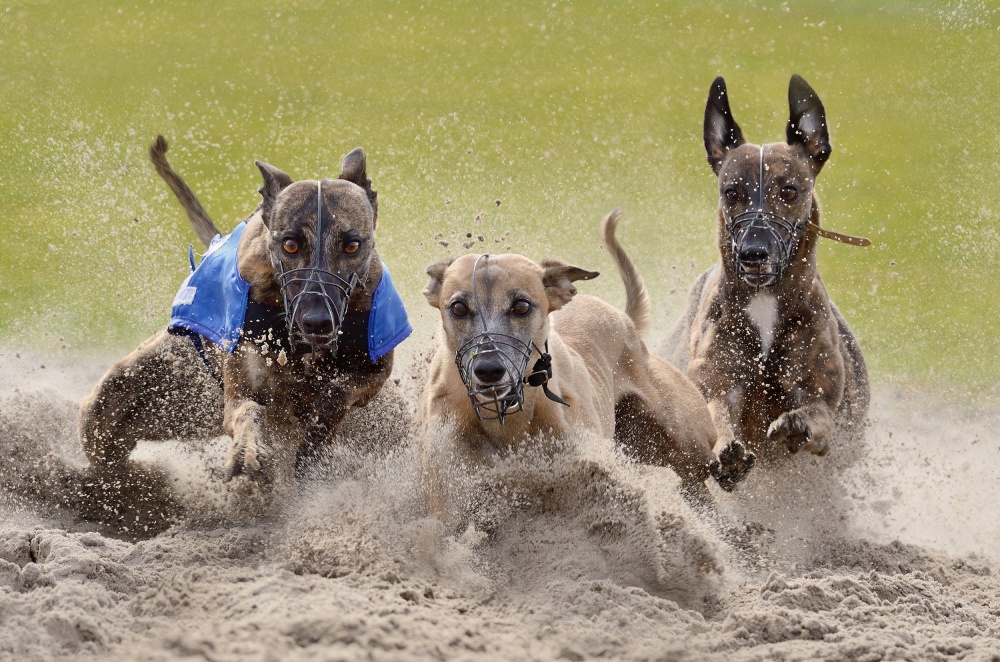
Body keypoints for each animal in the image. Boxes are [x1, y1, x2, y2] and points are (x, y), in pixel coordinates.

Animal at [74, 139, 410, 492]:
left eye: (352, 245)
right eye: (289, 244)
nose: (317, 321)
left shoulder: (373, 373)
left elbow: (339, 395)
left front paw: (317, 424)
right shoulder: (241, 386)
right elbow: (248, 411)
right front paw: (247, 451)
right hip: (131, 398)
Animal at [418, 210, 752, 528]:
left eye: (522, 306)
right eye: (458, 307)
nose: (489, 369)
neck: (507, 423)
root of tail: (624, 318)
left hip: (682, 434)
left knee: (704, 469)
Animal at [668, 72, 872, 456]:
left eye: (789, 191)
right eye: (731, 192)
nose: (753, 252)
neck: (765, 301)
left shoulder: (821, 400)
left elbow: (816, 415)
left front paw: (796, 425)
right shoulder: (717, 382)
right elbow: (716, 412)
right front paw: (727, 447)